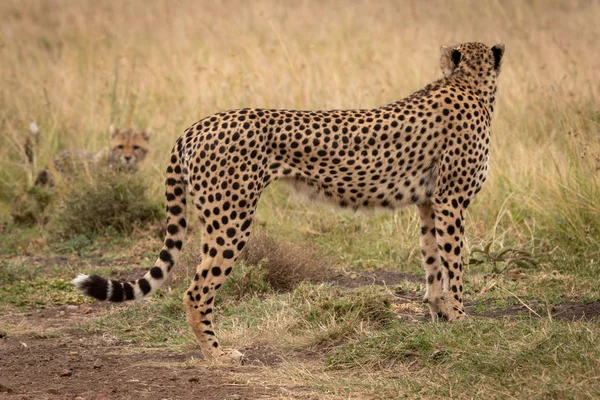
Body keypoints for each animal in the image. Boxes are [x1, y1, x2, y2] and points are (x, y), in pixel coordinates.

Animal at [75, 42, 506, 364]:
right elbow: (455, 264)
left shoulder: (429, 203)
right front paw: (463, 320)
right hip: (231, 220)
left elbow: (433, 264)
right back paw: (218, 355)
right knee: (196, 291)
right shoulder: (451, 201)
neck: (469, 83)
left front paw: (441, 317)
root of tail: (198, 124)